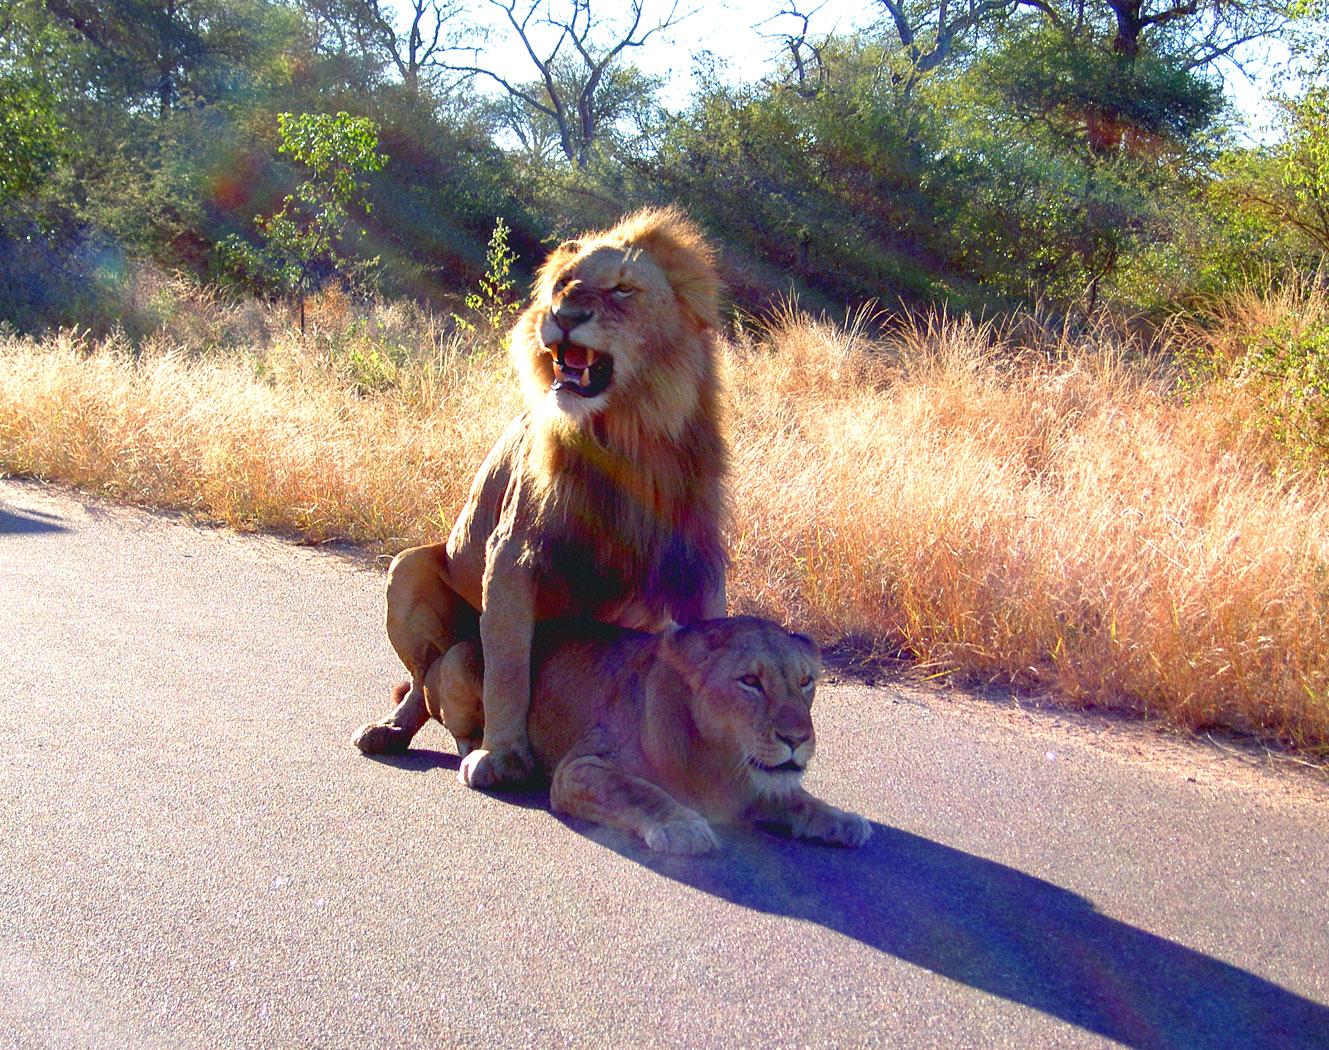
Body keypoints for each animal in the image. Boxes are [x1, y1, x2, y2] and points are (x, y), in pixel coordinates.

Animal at [353, 210, 728, 786]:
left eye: (623, 288)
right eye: (561, 285)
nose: (565, 316)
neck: (623, 434)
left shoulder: (696, 562)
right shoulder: (513, 554)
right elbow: (508, 669)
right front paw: (501, 755)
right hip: (406, 570)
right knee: (424, 680)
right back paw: (396, 731)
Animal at [425, 616, 871, 855]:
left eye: (806, 682)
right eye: (750, 681)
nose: (798, 739)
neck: (720, 761)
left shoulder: (755, 786)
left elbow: (798, 798)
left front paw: (842, 819)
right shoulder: (579, 768)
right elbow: (638, 791)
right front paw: (683, 827)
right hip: (461, 662)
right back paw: (485, 757)